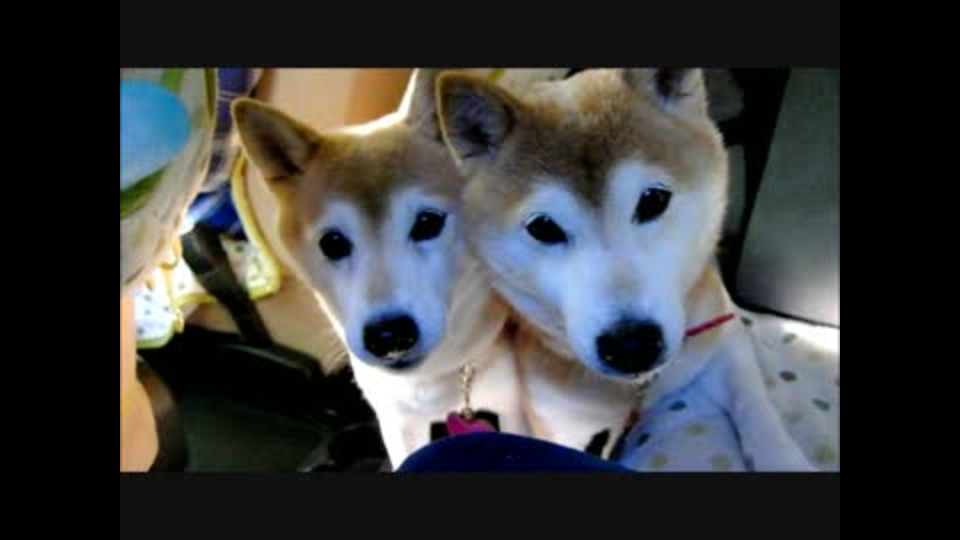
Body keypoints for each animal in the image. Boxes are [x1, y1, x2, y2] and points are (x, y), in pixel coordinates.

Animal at [232, 69, 527, 468]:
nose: (389, 335)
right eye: (332, 243)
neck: (432, 379)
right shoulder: (397, 421)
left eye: (428, 222)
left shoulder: (516, 408)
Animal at [435, 68, 811, 468]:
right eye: (544, 227)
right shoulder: (561, 426)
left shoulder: (720, 330)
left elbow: (754, 403)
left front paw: (782, 457)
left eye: (654, 200)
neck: (638, 388)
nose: (632, 345)